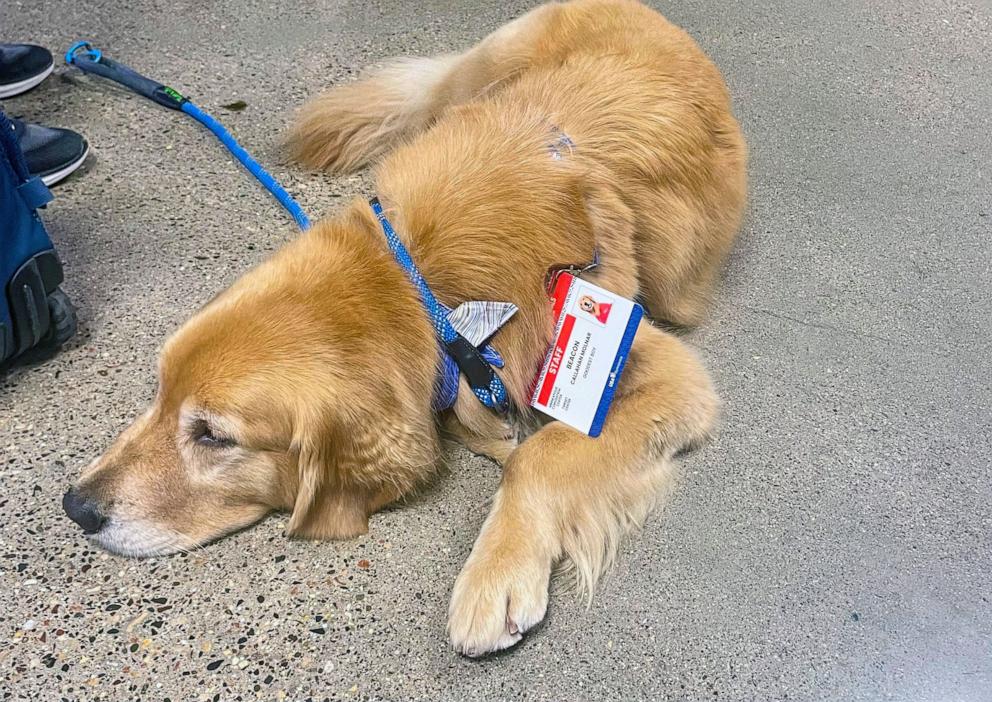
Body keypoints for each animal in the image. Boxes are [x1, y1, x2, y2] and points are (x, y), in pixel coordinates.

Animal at [64, 0, 744, 660]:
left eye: (212, 436)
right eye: (158, 393)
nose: (76, 506)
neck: (422, 285)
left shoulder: (659, 370)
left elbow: (539, 455)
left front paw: (494, 576)